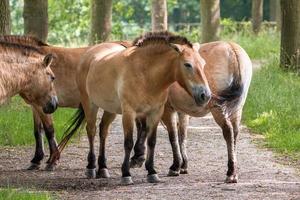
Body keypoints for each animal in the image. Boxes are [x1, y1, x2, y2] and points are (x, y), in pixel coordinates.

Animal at [56, 32, 211, 185]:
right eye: (187, 64)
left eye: (203, 63)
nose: (205, 95)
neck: (146, 74)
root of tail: (90, 54)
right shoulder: (129, 113)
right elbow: (128, 142)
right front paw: (126, 174)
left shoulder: (155, 113)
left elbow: (152, 141)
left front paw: (152, 172)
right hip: (90, 104)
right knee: (91, 131)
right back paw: (91, 167)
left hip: (110, 109)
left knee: (103, 131)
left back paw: (103, 168)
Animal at [131, 40, 253, 183]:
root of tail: (231, 48)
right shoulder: (182, 112)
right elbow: (182, 136)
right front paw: (183, 166)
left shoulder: (166, 110)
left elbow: (172, 136)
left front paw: (175, 166)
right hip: (236, 108)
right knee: (234, 134)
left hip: (218, 108)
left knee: (228, 132)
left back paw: (231, 173)